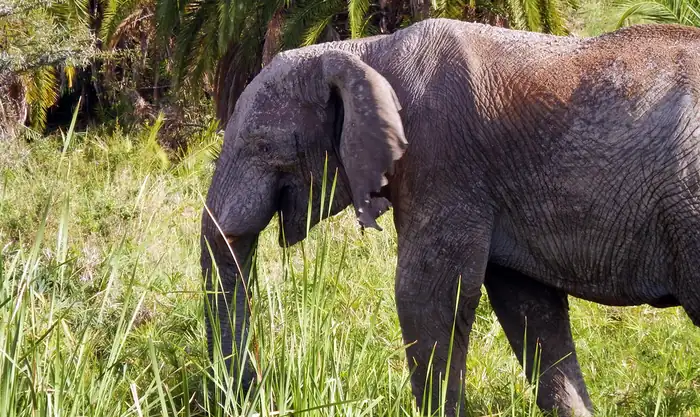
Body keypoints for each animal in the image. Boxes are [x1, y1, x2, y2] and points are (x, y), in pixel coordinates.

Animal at [200, 17, 700, 417]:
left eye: (262, 145)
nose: (252, 391)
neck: (364, 51)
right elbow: (530, 309)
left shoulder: (442, 162)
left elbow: (427, 297)